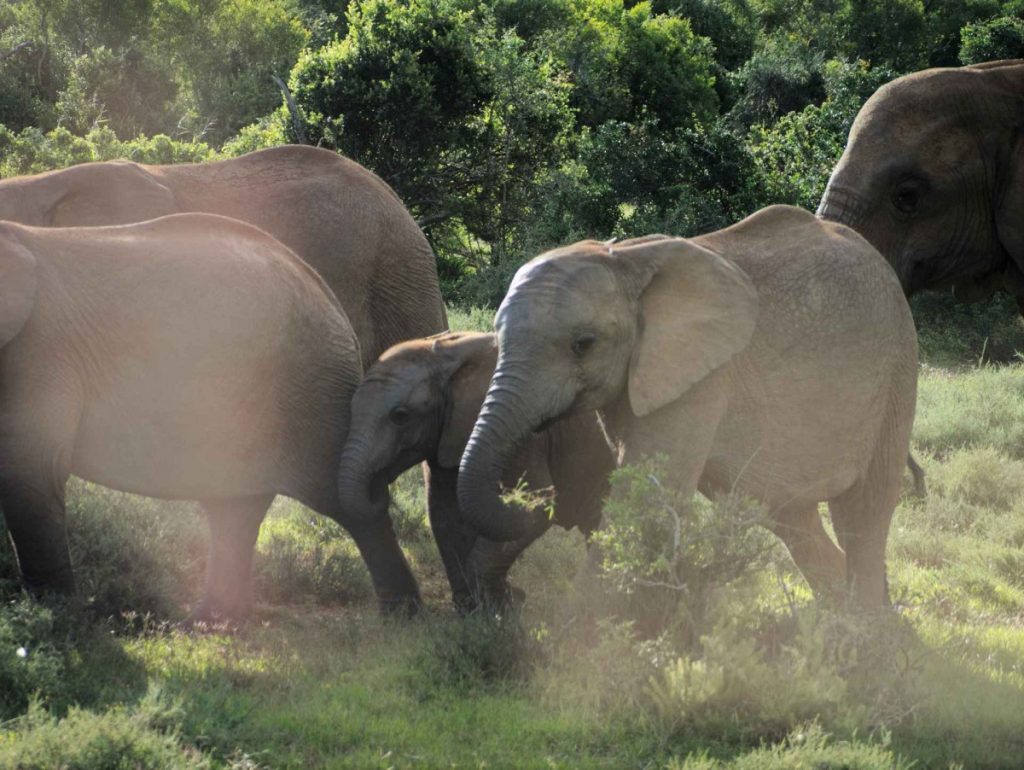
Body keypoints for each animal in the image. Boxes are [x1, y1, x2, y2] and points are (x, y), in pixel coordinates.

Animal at [0, 215, 421, 618]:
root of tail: (328, 296)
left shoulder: (38, 351)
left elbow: (29, 470)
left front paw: (55, 615)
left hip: (311, 391)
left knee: (346, 500)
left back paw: (401, 616)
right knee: (232, 507)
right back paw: (212, 621)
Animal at [335, 333, 610, 610]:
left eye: (400, 416)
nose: (378, 488)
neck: (443, 357)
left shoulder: (526, 440)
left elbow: (533, 503)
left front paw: (499, 609)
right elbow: (443, 514)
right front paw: (475, 608)